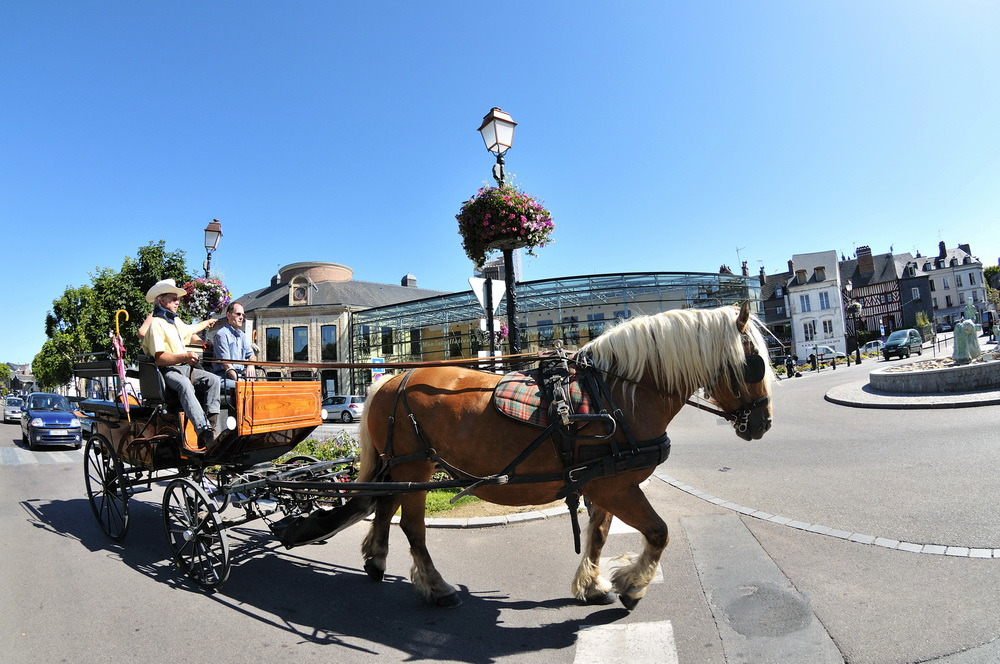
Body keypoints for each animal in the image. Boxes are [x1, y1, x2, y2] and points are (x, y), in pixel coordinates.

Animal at [356, 300, 768, 608]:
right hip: (416, 467)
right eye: (755, 364)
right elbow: (658, 532)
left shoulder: (603, 481)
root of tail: (391, 379)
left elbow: (599, 534)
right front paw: (633, 585)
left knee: (385, 506)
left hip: (401, 468)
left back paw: (376, 559)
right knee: (412, 526)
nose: (763, 422)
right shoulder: (616, 487)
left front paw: (594, 585)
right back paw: (436, 586)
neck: (617, 395)